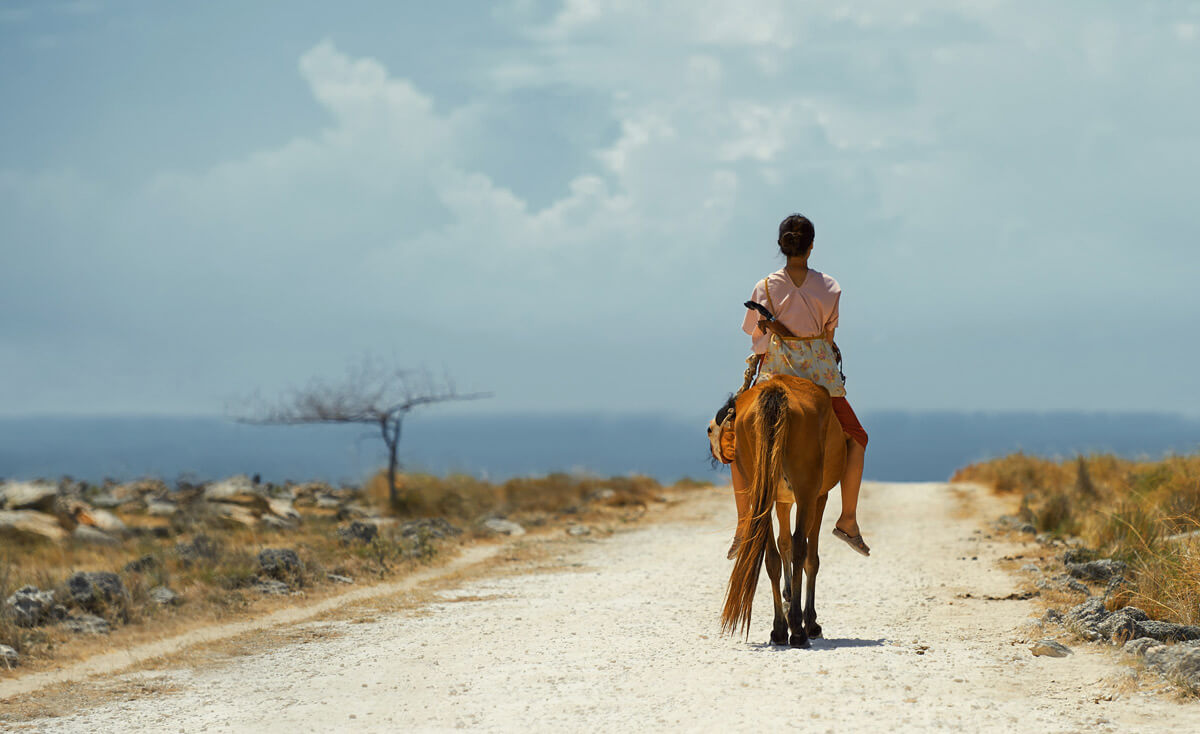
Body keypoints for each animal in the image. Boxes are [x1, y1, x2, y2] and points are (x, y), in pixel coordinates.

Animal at [720, 376, 844, 642]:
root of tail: (776, 390)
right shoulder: (819, 496)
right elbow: (809, 557)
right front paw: (810, 621)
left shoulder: (782, 501)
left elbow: (782, 543)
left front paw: (787, 606)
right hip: (806, 492)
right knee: (800, 548)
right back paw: (797, 628)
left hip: (762, 495)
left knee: (771, 557)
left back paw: (779, 627)